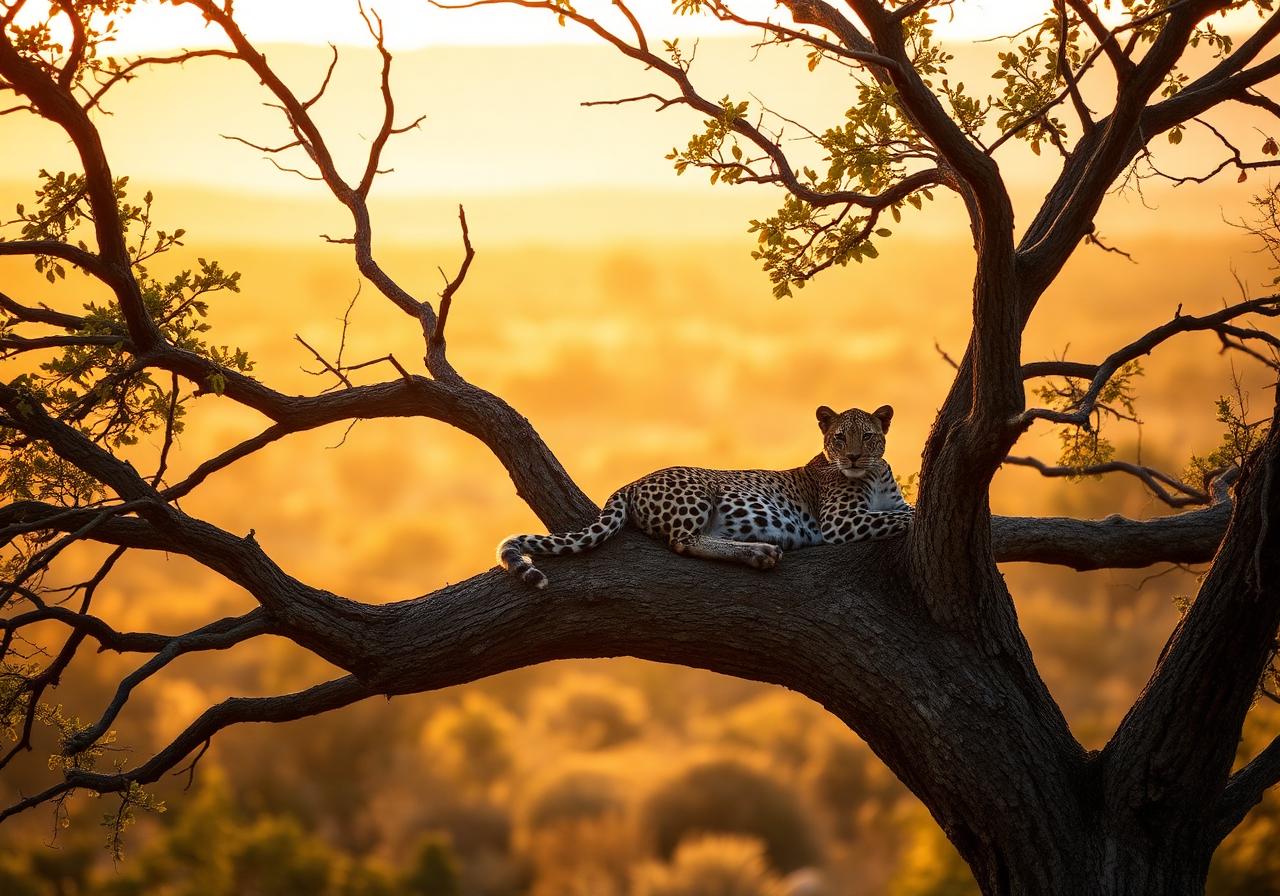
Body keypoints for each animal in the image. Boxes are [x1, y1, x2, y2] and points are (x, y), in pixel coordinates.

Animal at [497, 404, 913, 589]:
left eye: (868, 436)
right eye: (840, 437)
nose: (854, 456)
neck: (874, 474)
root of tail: (630, 483)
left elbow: (902, 510)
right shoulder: (840, 523)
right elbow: (903, 517)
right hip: (698, 493)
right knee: (683, 541)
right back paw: (759, 552)